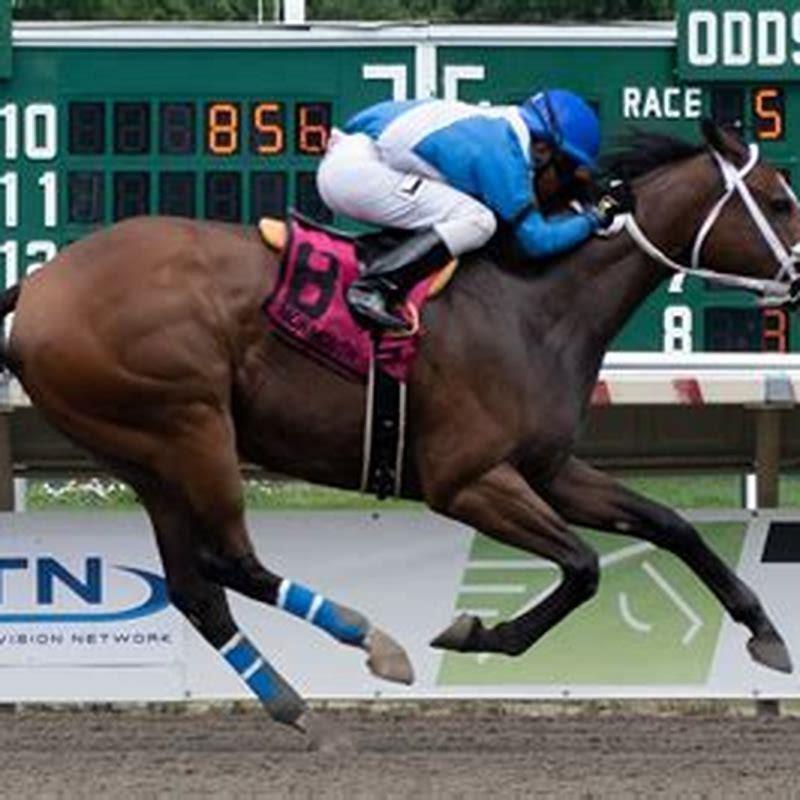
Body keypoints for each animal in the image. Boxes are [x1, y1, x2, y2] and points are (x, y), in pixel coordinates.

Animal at [1, 120, 798, 729]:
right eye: (776, 199)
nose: (795, 275)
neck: (535, 305)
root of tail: (39, 283)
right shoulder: (467, 480)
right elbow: (583, 566)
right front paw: (479, 632)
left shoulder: (546, 468)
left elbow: (671, 525)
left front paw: (764, 632)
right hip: (191, 425)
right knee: (228, 560)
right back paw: (368, 637)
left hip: (144, 455)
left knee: (199, 589)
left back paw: (293, 703)